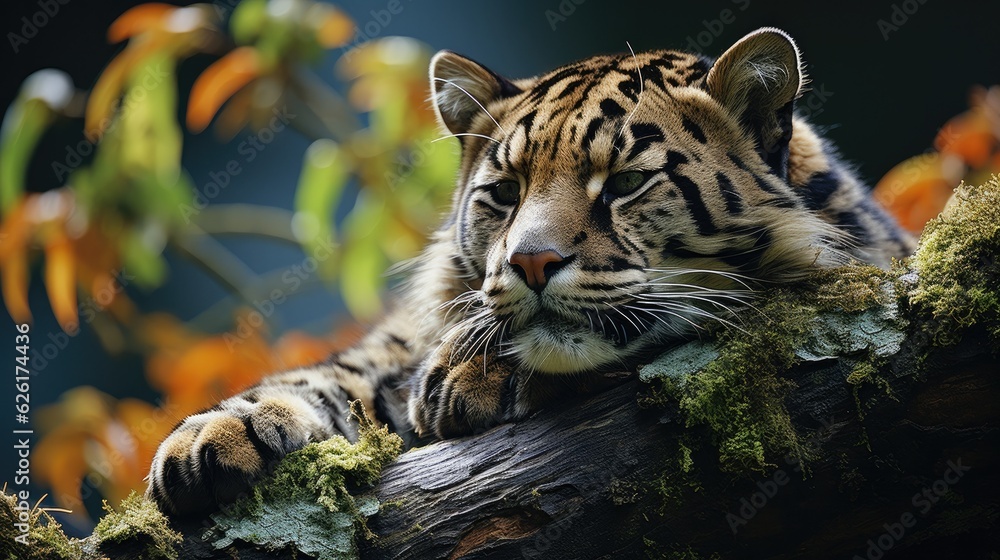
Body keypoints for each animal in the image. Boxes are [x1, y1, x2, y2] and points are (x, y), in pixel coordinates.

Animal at [147, 27, 914, 516]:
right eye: (506, 191)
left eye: (626, 181)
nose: (530, 261)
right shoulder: (390, 343)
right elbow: (334, 370)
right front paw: (215, 435)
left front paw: (463, 377)